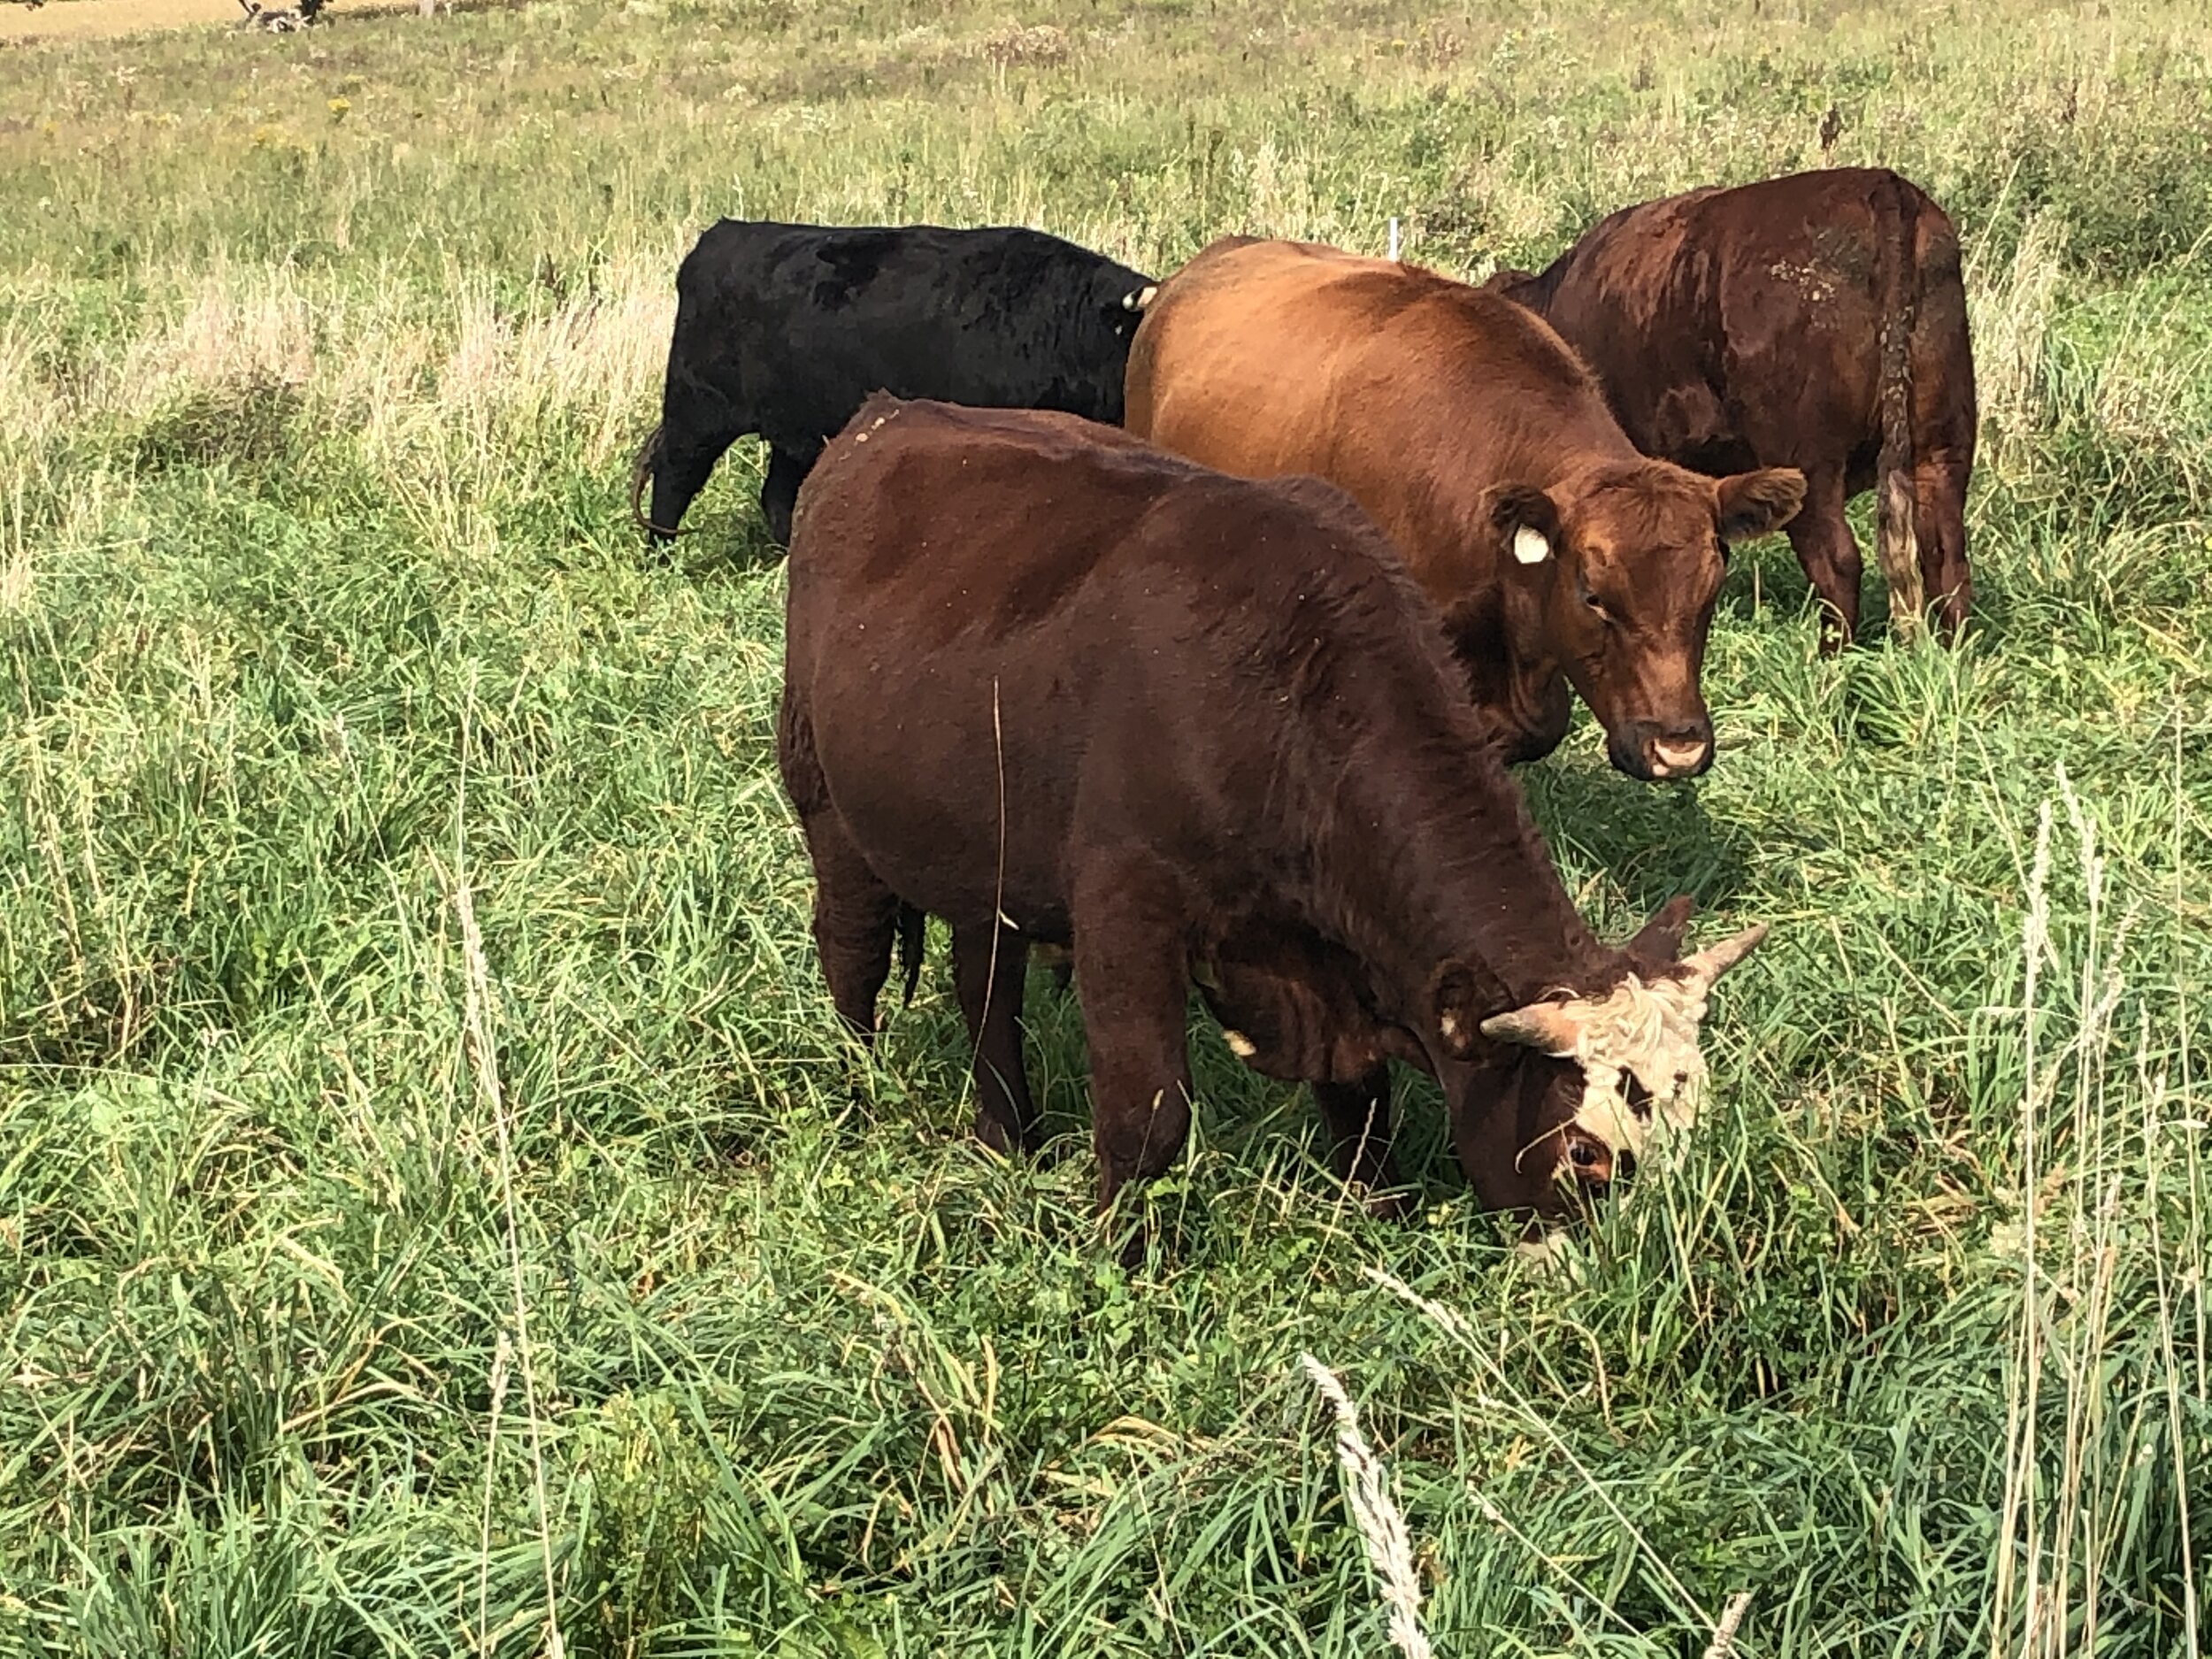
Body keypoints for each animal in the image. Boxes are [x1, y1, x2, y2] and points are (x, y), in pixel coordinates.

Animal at [632, 221, 1155, 548]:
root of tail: (721, 235)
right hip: (698, 410)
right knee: (674, 477)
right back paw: (661, 554)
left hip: (797, 430)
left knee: (777, 495)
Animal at [778, 396, 1768, 1247]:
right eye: (1583, 1152)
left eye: (1695, 1126)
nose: (1644, 1277)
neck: (1290, 687)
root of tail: (883, 416)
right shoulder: (1126, 908)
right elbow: (1146, 1115)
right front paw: (1119, 1256)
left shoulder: (1337, 960)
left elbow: (1362, 1098)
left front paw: (1379, 1211)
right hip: (828, 807)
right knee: (853, 958)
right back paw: (864, 1098)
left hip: (987, 858)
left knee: (985, 985)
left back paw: (1005, 1134)